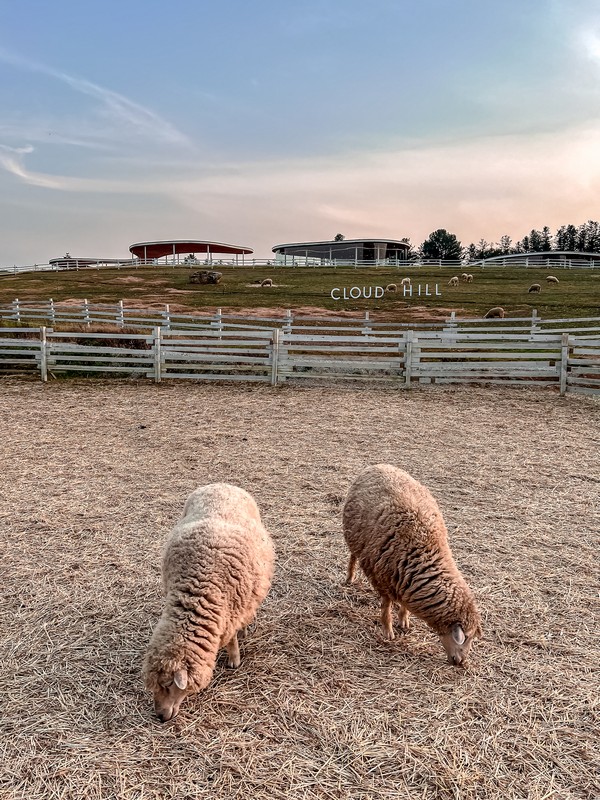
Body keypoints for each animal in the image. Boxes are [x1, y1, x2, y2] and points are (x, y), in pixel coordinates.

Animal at [143, 484, 274, 720]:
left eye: (168, 685)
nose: (160, 717)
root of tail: (222, 484)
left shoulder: (232, 611)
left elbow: (232, 639)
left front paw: (234, 660)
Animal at [342, 466, 482, 664]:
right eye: (466, 637)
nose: (460, 663)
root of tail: (378, 465)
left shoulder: (404, 579)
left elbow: (404, 604)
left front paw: (404, 620)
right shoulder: (383, 578)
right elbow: (386, 606)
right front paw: (388, 631)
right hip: (354, 538)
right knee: (353, 557)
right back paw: (350, 577)